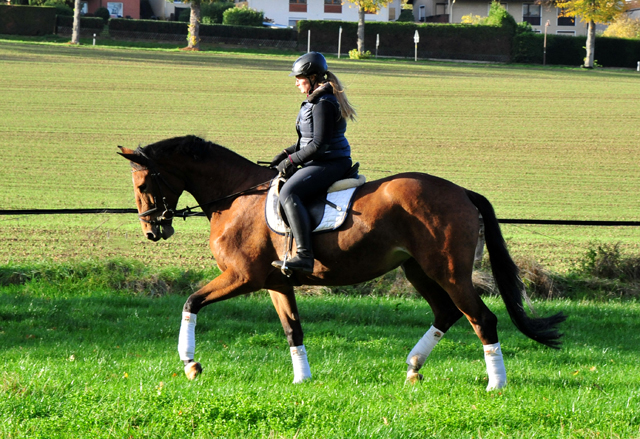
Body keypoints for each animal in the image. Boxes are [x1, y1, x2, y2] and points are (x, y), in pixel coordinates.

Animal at [119, 135, 564, 392]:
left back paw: (495, 384)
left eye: (142, 183)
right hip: (418, 270)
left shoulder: (242, 276)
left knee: (481, 319)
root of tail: (462, 192)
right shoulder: (276, 282)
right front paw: (302, 379)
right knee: (446, 313)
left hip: (449, 272)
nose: (152, 231)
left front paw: (189, 363)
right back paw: (414, 367)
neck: (235, 195)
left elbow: (191, 302)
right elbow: (292, 328)